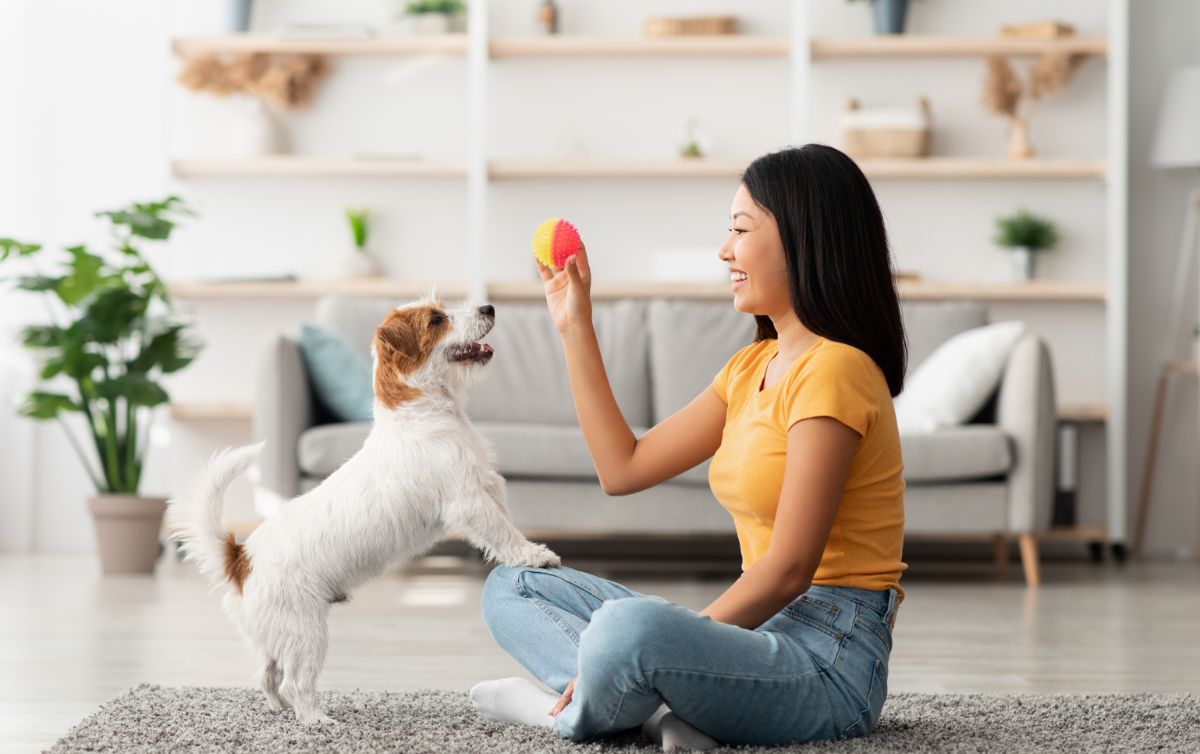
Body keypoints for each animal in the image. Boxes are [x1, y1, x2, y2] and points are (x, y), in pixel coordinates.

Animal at [165, 294, 561, 725]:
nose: (489, 308)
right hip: (306, 633)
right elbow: (503, 532)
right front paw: (535, 555)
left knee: (267, 675)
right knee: (294, 682)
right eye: (436, 319)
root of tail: (240, 558)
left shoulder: (489, 486)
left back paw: (281, 709)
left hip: (275, 635)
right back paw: (317, 721)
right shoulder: (470, 501)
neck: (420, 412)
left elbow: (506, 522)